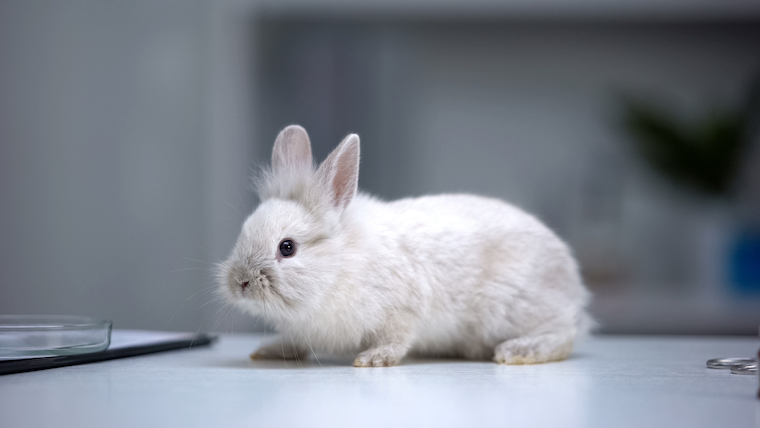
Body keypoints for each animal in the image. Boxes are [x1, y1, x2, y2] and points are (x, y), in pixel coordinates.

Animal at [218, 124, 592, 367]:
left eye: (287, 248)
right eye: (243, 231)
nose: (240, 283)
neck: (339, 264)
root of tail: (574, 283)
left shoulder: (402, 312)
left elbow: (396, 340)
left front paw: (373, 359)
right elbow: (294, 342)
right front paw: (268, 350)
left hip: (516, 309)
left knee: (566, 333)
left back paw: (518, 351)